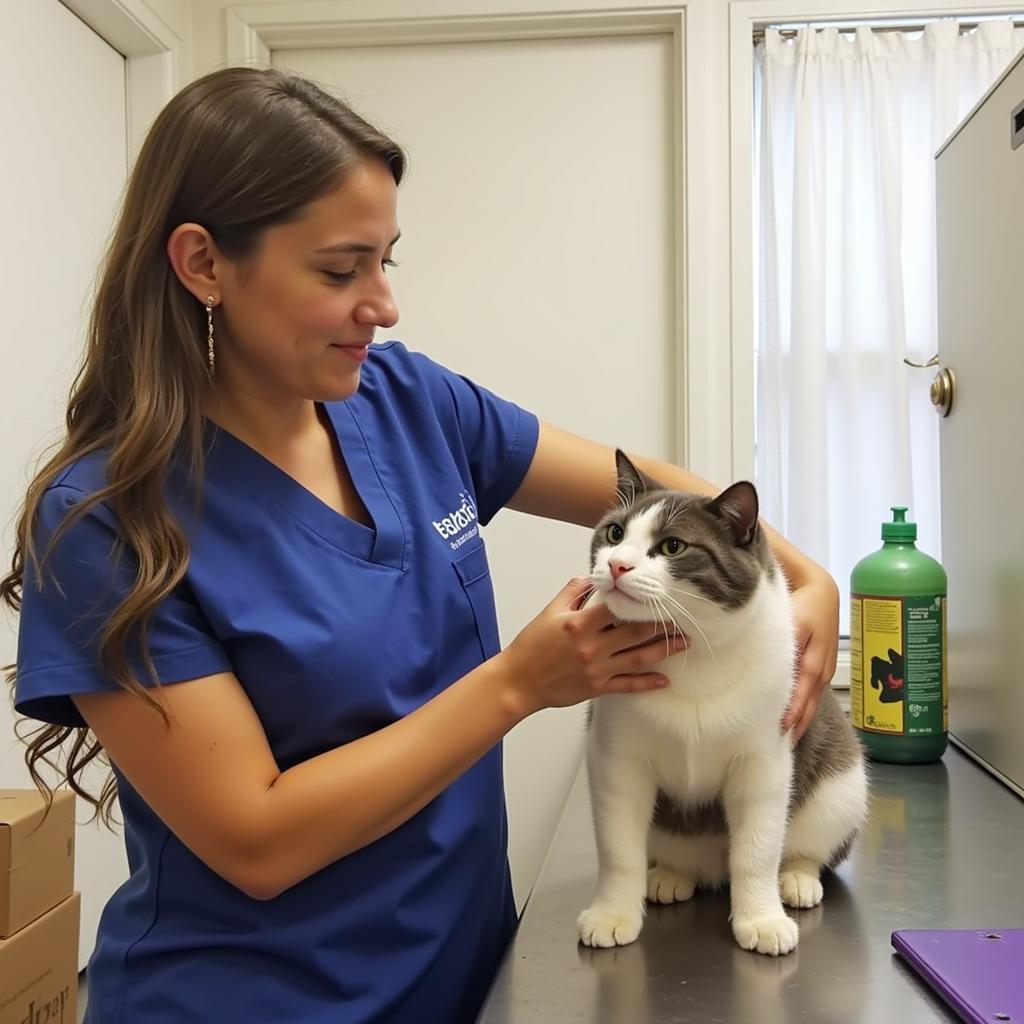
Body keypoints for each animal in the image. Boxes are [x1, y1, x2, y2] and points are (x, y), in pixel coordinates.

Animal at [577, 452, 864, 954]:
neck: (692, 656)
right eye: (614, 533)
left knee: (809, 844)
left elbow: (758, 849)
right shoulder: (616, 757)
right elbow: (617, 848)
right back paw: (670, 875)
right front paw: (612, 913)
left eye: (672, 546)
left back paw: (797, 878)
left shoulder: (764, 757)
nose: (616, 566)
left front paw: (762, 919)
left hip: (842, 790)